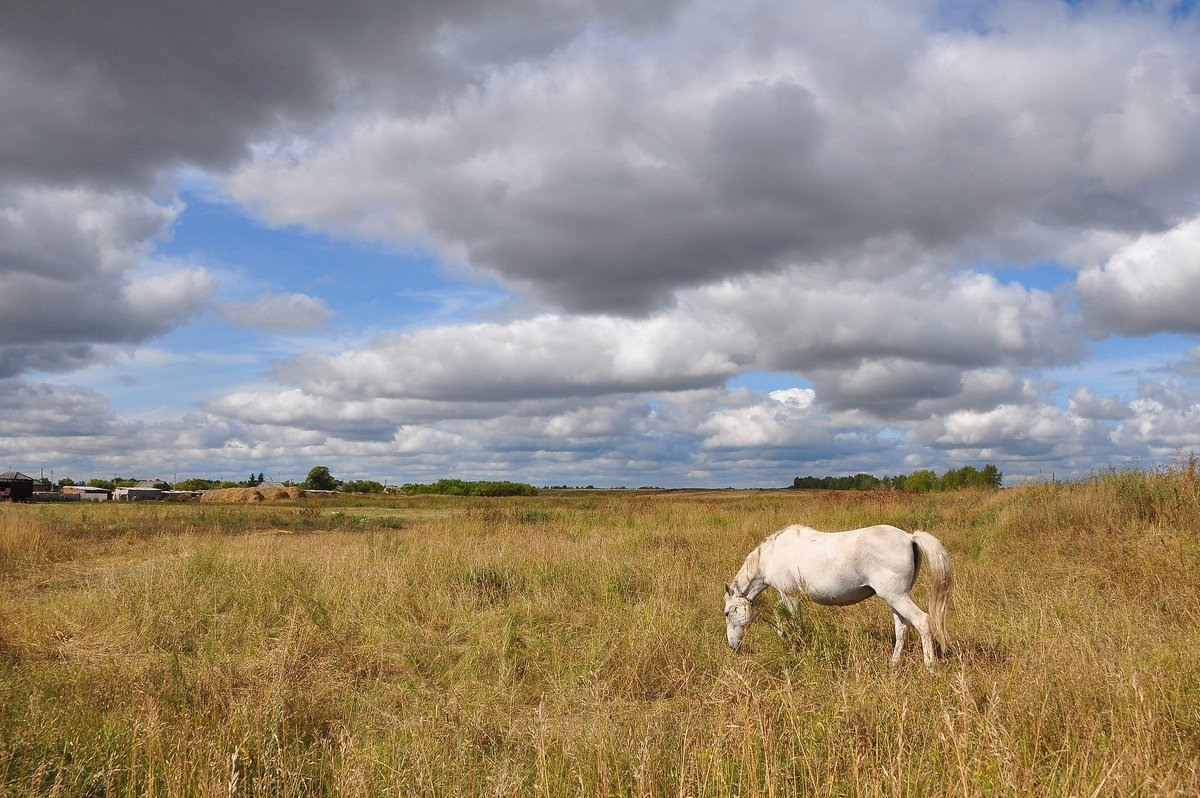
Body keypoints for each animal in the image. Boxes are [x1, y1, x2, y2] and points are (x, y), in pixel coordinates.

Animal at [724, 523, 950, 667]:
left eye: (727, 613)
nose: (733, 646)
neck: (772, 554)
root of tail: (910, 537)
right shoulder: (787, 596)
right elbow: (780, 615)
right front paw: (784, 638)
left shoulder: (790, 596)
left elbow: (793, 621)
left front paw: (797, 646)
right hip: (895, 599)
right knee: (901, 627)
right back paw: (894, 664)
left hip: (897, 597)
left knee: (922, 621)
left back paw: (930, 666)